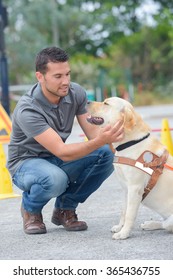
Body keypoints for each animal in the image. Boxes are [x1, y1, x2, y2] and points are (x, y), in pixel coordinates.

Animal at [87, 97, 173, 240]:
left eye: (106, 103)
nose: (87, 101)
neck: (130, 143)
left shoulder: (135, 188)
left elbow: (129, 214)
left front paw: (124, 233)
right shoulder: (125, 188)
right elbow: (123, 211)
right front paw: (119, 227)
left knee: (166, 225)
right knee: (163, 224)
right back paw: (150, 224)